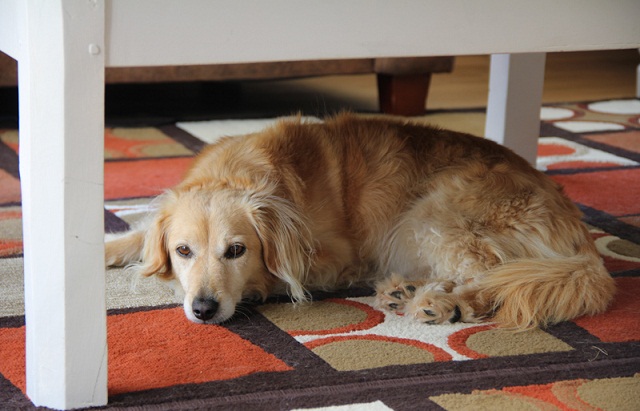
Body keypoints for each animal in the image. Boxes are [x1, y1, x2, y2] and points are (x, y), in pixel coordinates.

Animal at [105, 114, 616, 330]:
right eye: (182, 251)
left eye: (236, 251)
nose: (204, 309)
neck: (241, 172)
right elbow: (137, 235)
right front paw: (108, 248)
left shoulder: (332, 258)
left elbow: (279, 278)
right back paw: (406, 290)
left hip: (431, 214)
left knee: (490, 276)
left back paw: (444, 304)